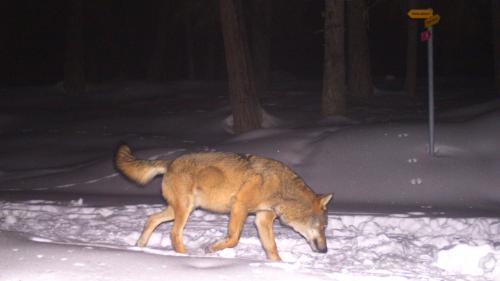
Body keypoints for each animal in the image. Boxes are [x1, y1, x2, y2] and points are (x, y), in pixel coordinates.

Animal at [114, 144, 332, 260]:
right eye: (323, 227)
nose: (325, 250)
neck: (281, 188)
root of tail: (171, 162)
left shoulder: (262, 219)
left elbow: (271, 247)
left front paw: (278, 265)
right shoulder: (239, 207)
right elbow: (233, 238)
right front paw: (211, 248)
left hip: (179, 209)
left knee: (151, 219)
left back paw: (140, 246)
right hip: (184, 210)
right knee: (174, 233)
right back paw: (186, 257)